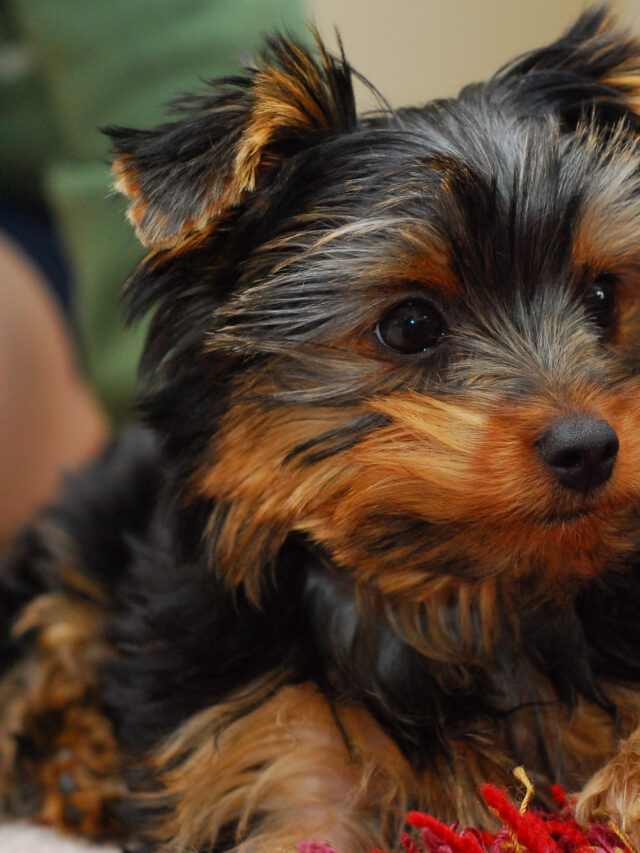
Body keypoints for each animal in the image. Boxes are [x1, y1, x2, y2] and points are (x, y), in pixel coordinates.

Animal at [1, 8, 640, 852]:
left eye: (602, 296)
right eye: (410, 325)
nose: (588, 446)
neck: (460, 598)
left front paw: (620, 787)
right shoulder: (279, 750)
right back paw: (71, 759)